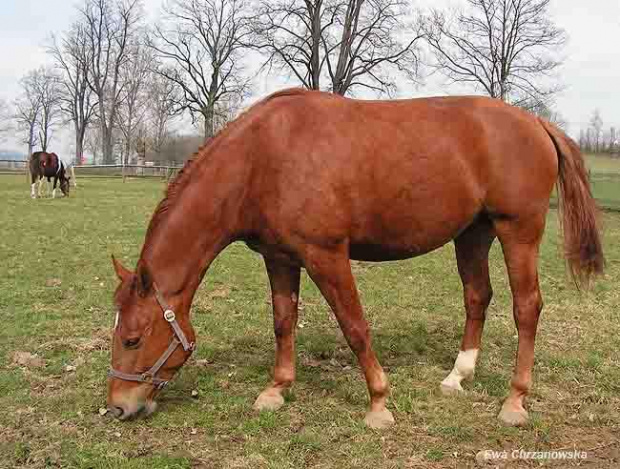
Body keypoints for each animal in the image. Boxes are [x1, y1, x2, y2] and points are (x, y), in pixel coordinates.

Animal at [105, 88, 600, 428]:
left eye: (131, 339)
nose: (118, 407)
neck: (261, 158)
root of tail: (535, 122)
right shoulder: (279, 258)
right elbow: (283, 321)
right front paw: (276, 390)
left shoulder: (326, 255)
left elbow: (354, 326)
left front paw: (378, 403)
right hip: (473, 234)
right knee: (477, 297)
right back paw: (457, 377)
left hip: (518, 231)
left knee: (527, 308)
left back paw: (514, 401)